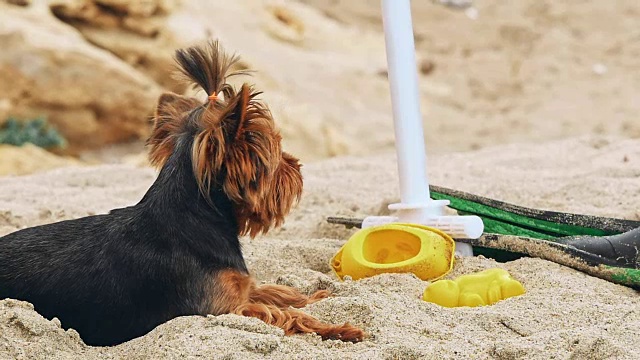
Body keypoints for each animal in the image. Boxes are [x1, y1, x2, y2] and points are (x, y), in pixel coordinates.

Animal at [0, 40, 362, 346]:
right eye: (276, 153)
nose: (296, 166)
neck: (196, 217)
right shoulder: (224, 309)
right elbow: (286, 315)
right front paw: (340, 327)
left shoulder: (238, 291)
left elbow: (276, 292)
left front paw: (320, 296)